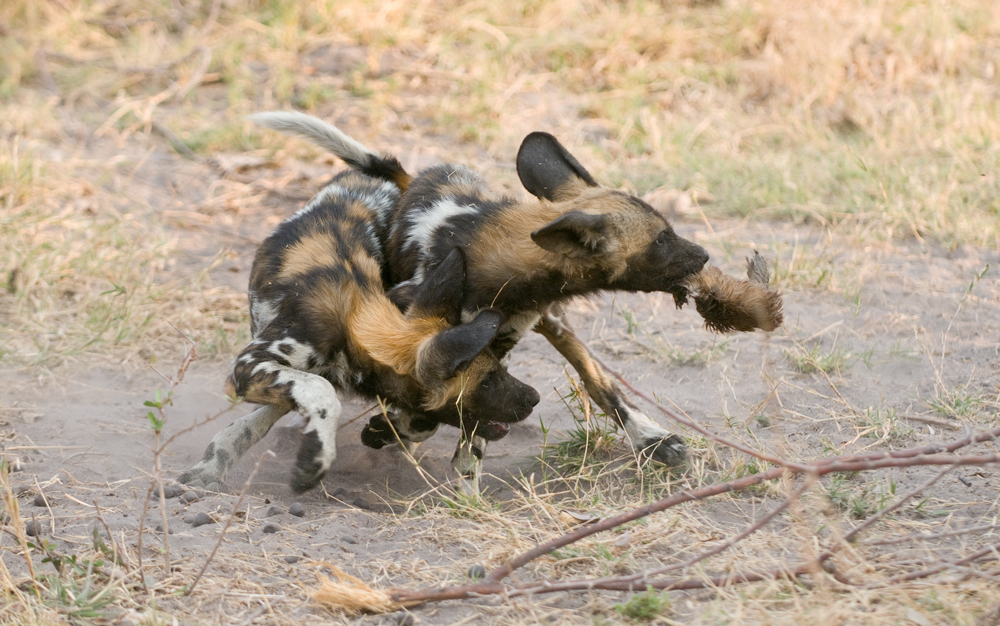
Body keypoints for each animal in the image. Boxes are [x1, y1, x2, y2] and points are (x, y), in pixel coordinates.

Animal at [180, 167, 540, 492]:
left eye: (499, 369)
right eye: (487, 381)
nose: (534, 397)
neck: (356, 321)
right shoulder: (251, 365)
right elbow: (320, 394)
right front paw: (314, 457)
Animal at [247, 109, 708, 476]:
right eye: (662, 240)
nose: (704, 255)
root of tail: (415, 178)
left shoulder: (497, 340)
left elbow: (468, 405)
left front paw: (440, 447)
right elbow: (437, 402)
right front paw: (405, 432)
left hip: (554, 325)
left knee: (599, 380)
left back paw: (652, 438)